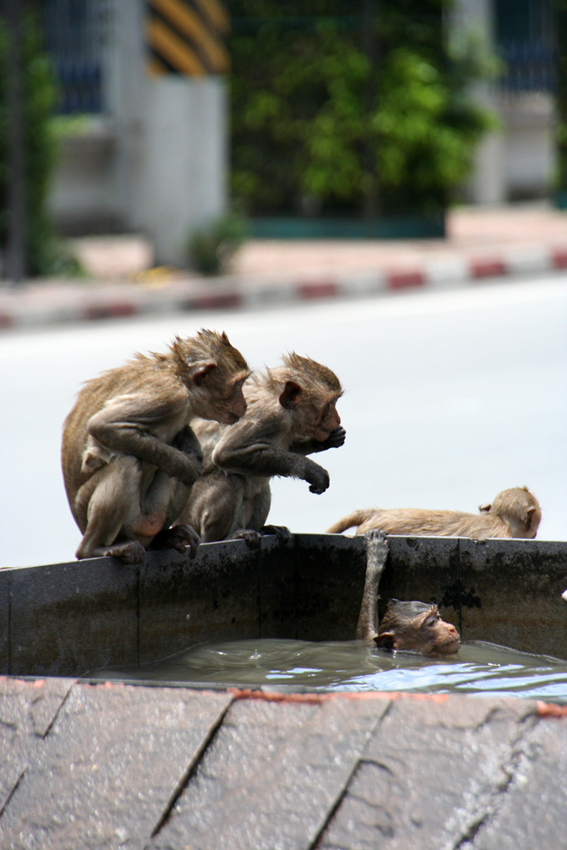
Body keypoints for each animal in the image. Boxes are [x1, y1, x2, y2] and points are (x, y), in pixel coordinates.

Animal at [60, 332, 251, 564]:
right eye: (238, 385)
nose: (245, 405)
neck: (182, 381)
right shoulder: (168, 397)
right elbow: (103, 425)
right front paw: (188, 466)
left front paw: (190, 446)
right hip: (114, 521)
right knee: (127, 462)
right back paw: (92, 549)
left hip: (147, 519)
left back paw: (164, 537)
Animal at [176, 352, 346, 544]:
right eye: (330, 404)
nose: (338, 419)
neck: (283, 407)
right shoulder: (266, 417)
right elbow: (225, 453)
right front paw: (312, 470)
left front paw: (325, 441)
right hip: (191, 516)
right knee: (232, 479)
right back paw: (224, 538)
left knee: (262, 486)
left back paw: (265, 529)